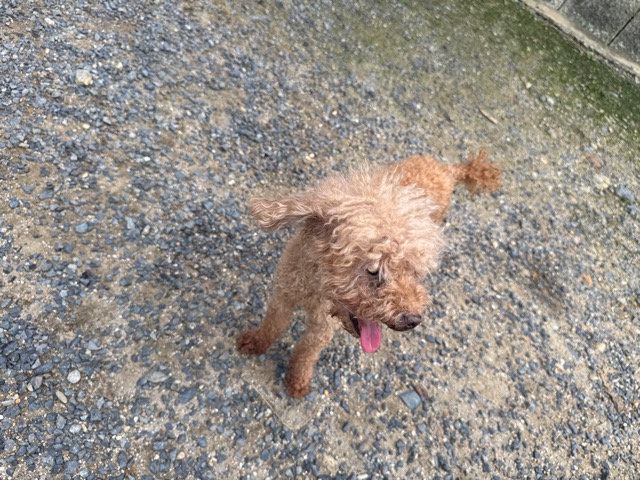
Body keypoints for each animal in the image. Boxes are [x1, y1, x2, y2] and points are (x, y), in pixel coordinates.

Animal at [238, 150, 500, 397]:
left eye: (413, 270)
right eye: (374, 270)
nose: (413, 320)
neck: (313, 288)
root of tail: (447, 168)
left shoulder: (322, 327)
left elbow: (306, 352)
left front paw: (297, 381)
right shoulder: (282, 296)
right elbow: (273, 325)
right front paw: (254, 343)